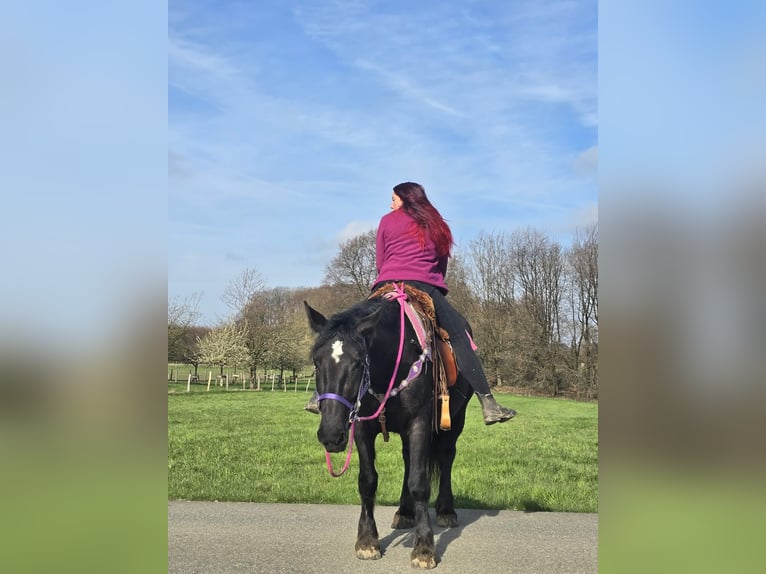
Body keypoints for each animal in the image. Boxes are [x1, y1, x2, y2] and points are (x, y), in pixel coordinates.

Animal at [304, 286, 473, 569]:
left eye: (359, 362)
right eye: (316, 362)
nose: (331, 435)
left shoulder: (419, 424)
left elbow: (419, 482)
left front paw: (424, 548)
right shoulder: (362, 428)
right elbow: (367, 480)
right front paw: (367, 541)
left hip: (454, 421)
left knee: (446, 456)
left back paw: (446, 511)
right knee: (408, 461)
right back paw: (405, 513)